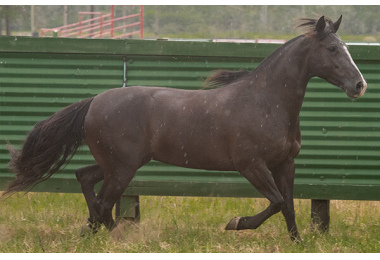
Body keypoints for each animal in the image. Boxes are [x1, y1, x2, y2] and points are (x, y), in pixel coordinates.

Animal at [1, 15, 366, 244]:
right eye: (333, 49)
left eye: (347, 47)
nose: (359, 85)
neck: (266, 102)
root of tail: (94, 102)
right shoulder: (251, 165)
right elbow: (276, 202)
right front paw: (236, 224)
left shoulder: (284, 164)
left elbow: (288, 205)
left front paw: (298, 242)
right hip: (123, 167)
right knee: (104, 201)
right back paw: (115, 236)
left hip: (116, 164)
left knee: (86, 181)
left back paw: (93, 231)